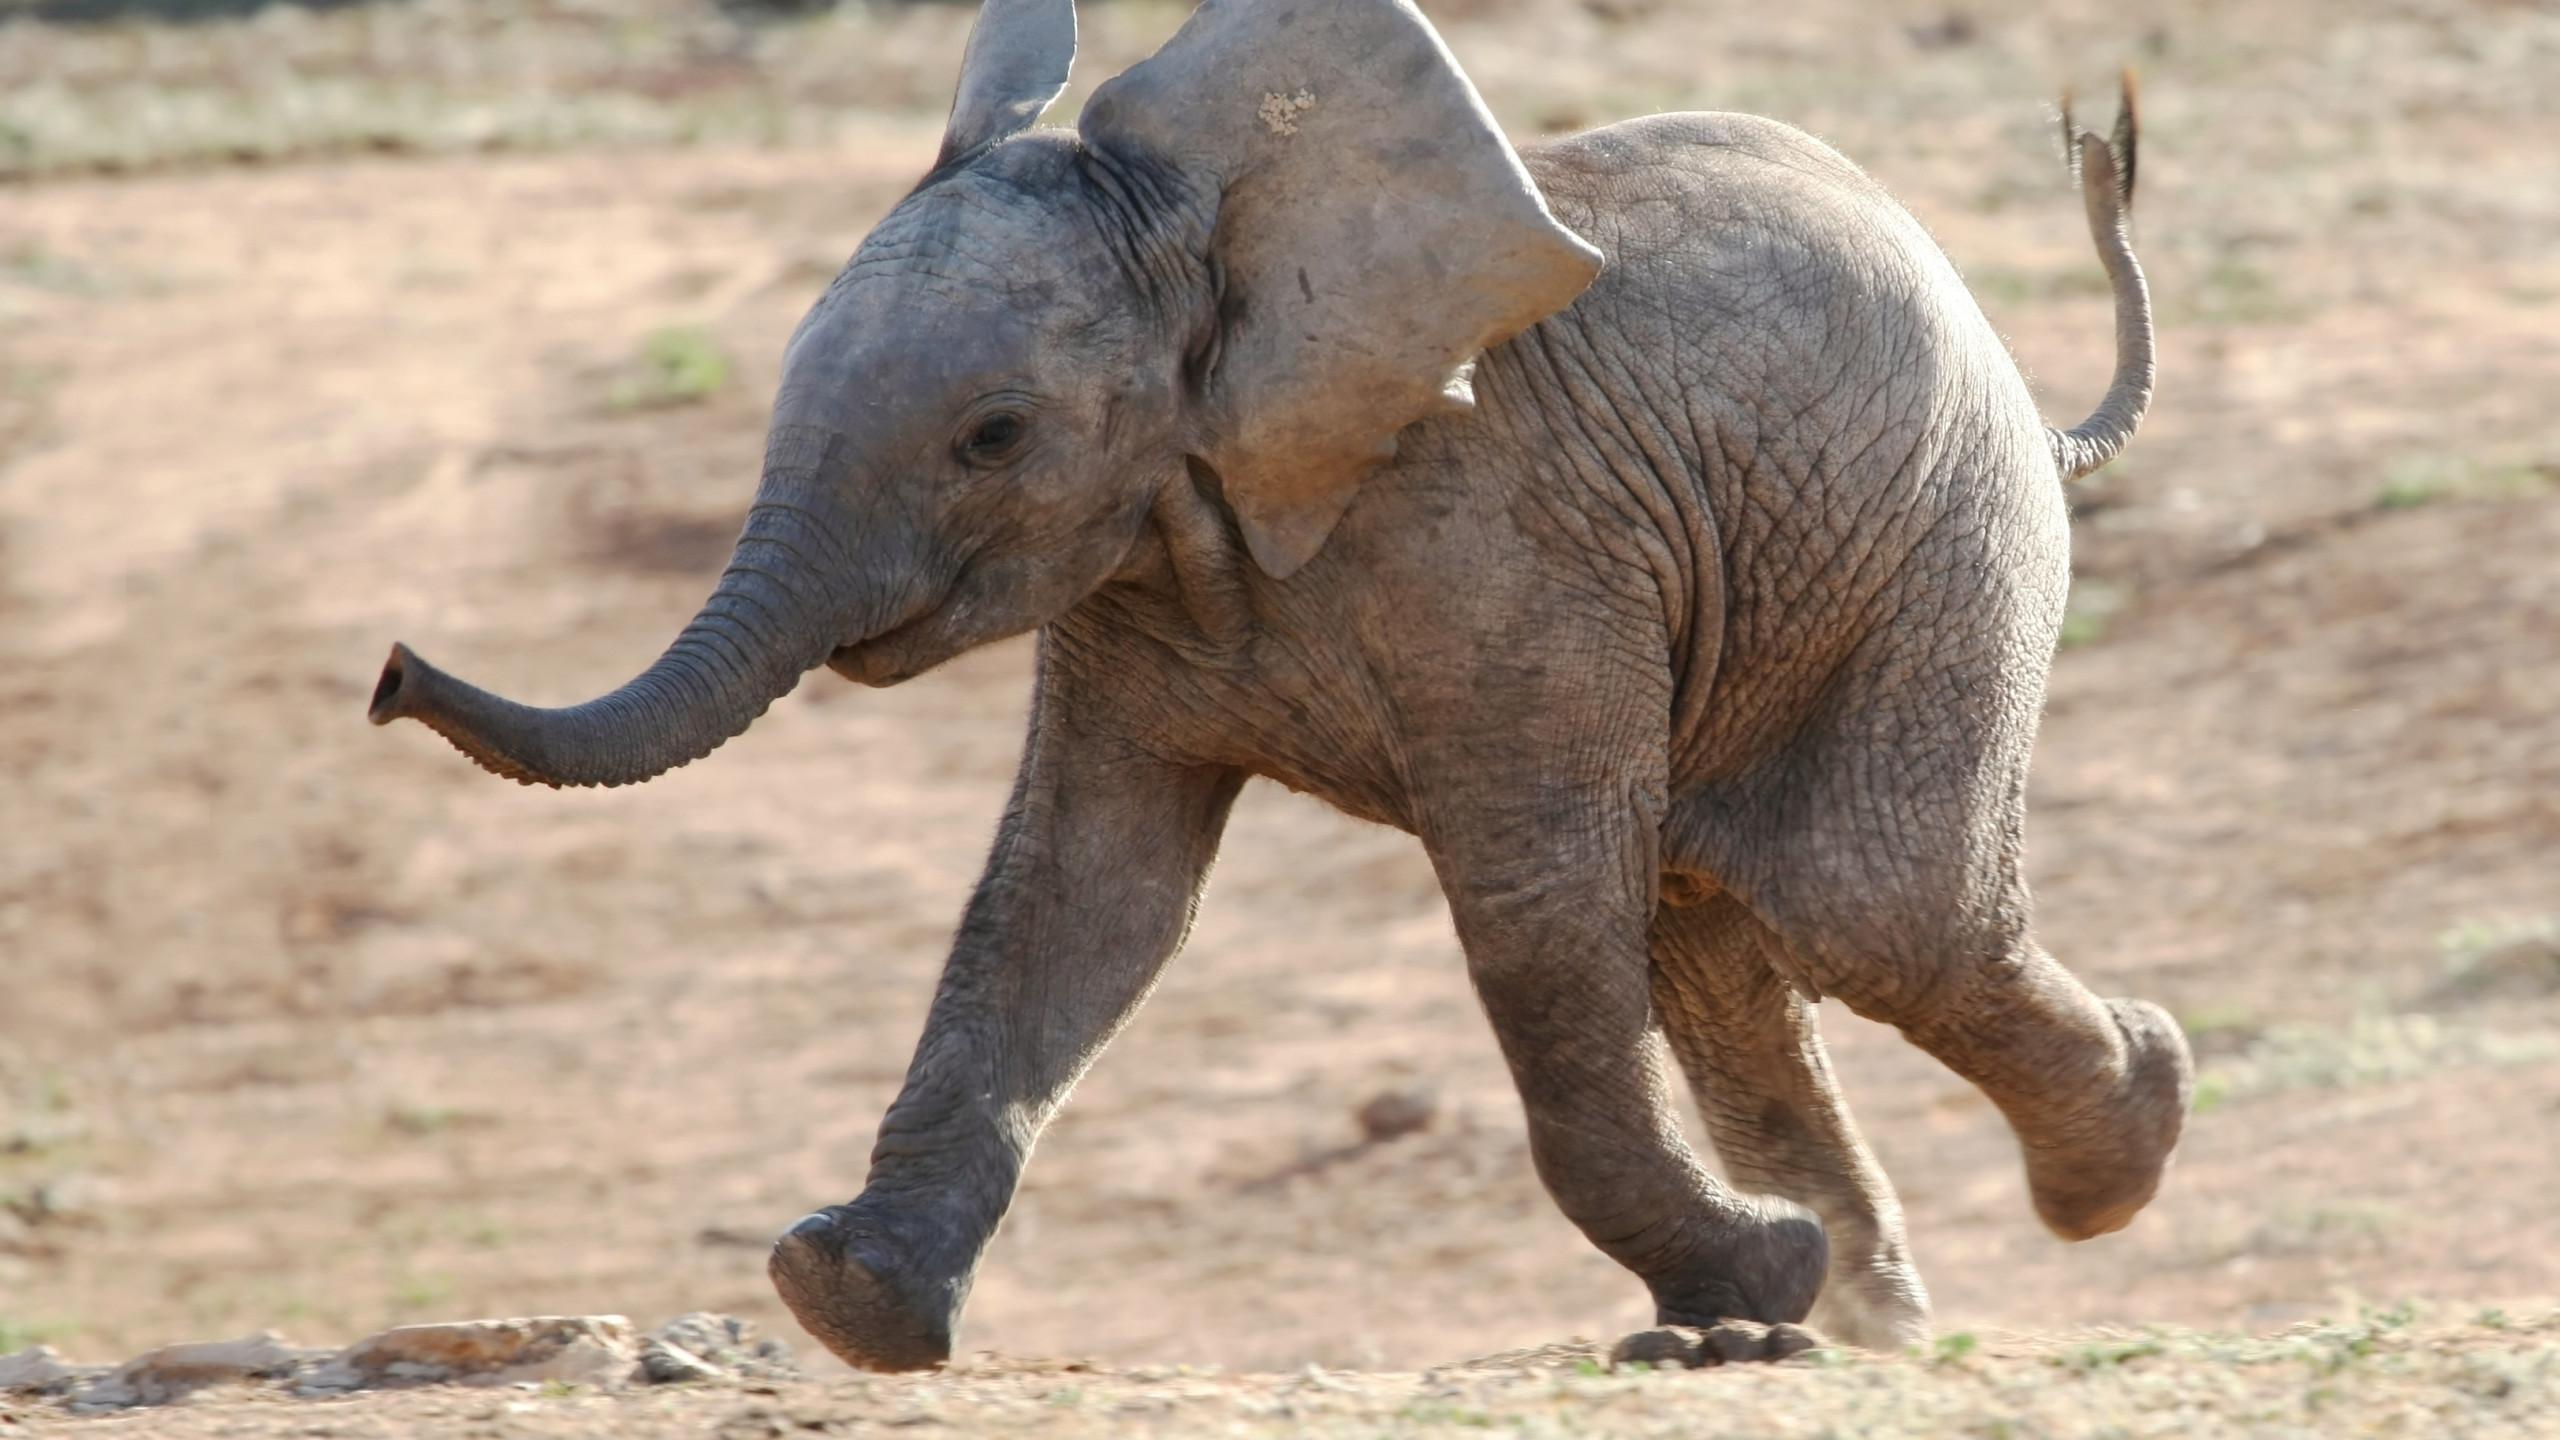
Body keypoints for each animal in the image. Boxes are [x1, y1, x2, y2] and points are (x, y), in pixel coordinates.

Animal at [367, 0, 2192, 1367]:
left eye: (992, 437)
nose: (385, 674)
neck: (1220, 242)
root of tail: (2033, 399)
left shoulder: (1510, 548)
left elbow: (1533, 907)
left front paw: (1754, 1284)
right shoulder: (1134, 572)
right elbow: (1084, 894)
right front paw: (844, 1299)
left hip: (1940, 543)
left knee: (1863, 902)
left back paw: (2115, 1151)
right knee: (1725, 932)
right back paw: (1874, 1313)